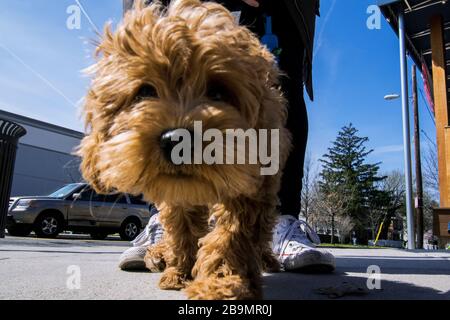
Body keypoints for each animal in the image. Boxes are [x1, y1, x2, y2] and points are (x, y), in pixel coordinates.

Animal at [78, 0, 290, 300]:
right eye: (145, 92)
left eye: (218, 92)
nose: (175, 139)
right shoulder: (176, 196)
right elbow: (182, 229)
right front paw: (180, 271)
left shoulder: (251, 185)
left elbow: (232, 233)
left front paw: (221, 283)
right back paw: (159, 255)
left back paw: (266, 259)